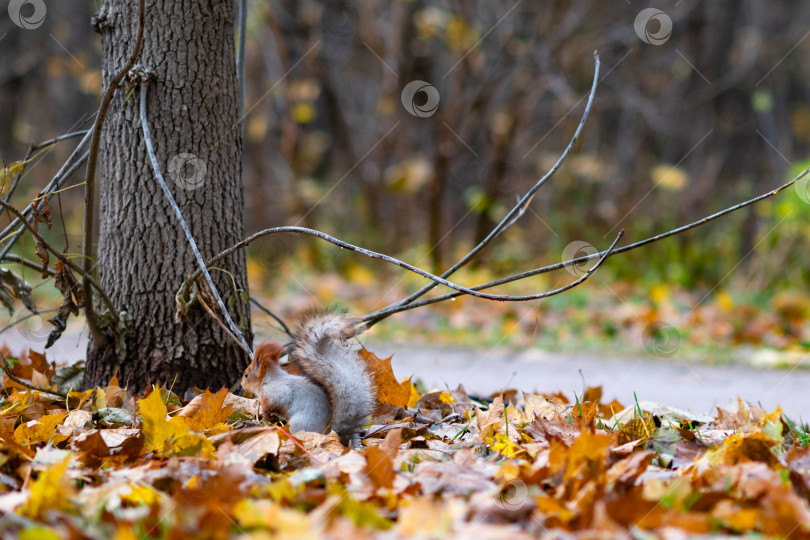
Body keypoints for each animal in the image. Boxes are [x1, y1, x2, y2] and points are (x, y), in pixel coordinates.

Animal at [240, 310, 376, 446]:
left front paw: (266, 416)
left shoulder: (277, 392)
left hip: (299, 424)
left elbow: (274, 404)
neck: (269, 379)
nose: (241, 384)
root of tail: (328, 432)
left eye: (246, 374)